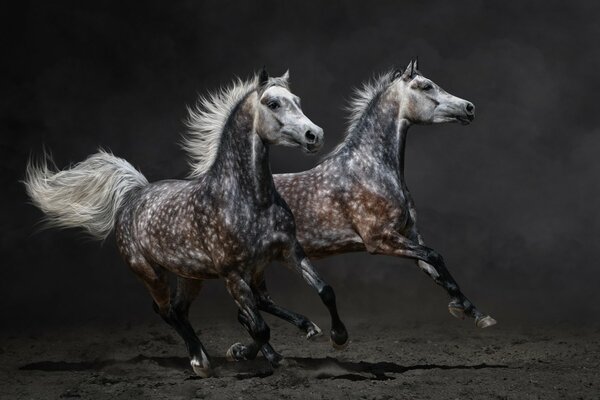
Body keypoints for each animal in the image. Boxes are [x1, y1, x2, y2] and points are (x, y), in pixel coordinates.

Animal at [25, 69, 350, 378]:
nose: (314, 135)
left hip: (192, 275)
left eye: (297, 100)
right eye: (273, 103)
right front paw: (250, 354)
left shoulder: (288, 252)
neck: (249, 199)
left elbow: (324, 290)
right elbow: (259, 326)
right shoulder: (232, 274)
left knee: (194, 309)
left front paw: (337, 337)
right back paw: (200, 361)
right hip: (152, 273)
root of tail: (133, 195)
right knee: (167, 311)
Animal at [270, 58, 494, 328]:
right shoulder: (379, 239)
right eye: (426, 86)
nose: (469, 108)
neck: (371, 170)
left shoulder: (409, 235)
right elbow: (436, 256)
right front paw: (461, 308)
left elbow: (436, 268)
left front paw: (476, 313)